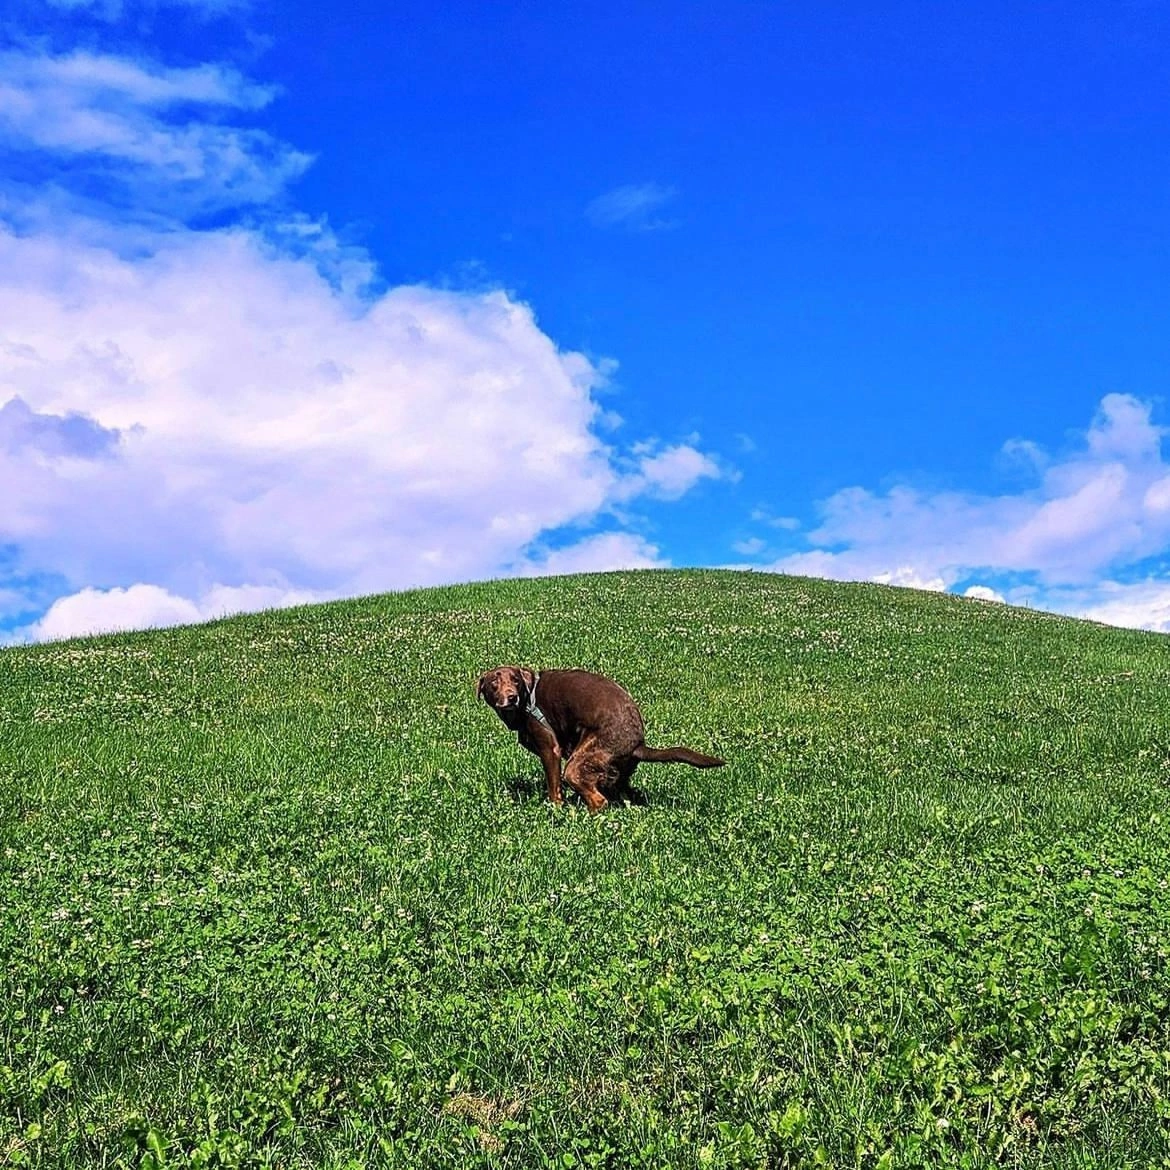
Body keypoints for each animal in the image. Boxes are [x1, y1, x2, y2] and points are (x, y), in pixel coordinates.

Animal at [475, 664, 720, 809]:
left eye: (515, 680)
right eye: (494, 684)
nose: (512, 697)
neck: (526, 701)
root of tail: (638, 744)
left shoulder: (550, 750)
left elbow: (554, 789)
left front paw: (556, 810)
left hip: (579, 763)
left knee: (599, 800)